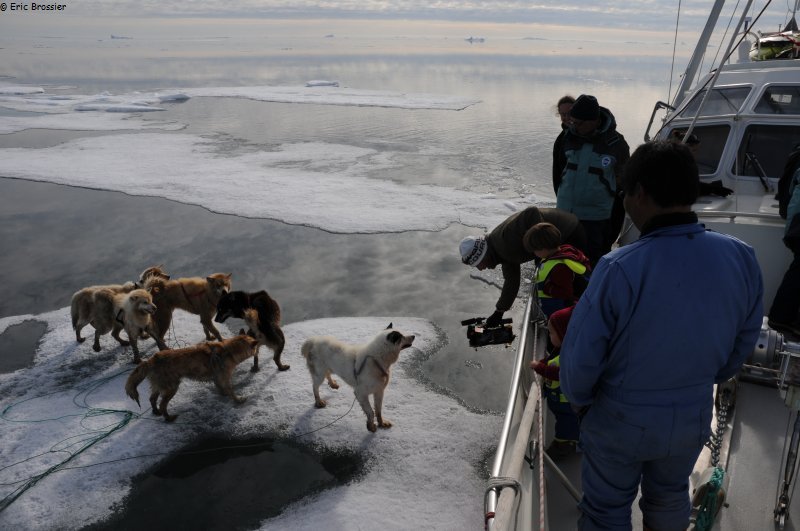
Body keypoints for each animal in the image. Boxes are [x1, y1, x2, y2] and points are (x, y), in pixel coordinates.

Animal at [124, 334, 260, 422]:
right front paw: (238, 400)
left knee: (152, 399)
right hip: (171, 387)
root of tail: (151, 361)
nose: (259, 352)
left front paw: (224, 394)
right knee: (162, 405)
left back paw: (156, 412)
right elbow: (231, 391)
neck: (229, 351)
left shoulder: (217, 377)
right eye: (256, 348)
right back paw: (168, 418)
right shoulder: (224, 377)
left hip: (159, 385)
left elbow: (221, 388)